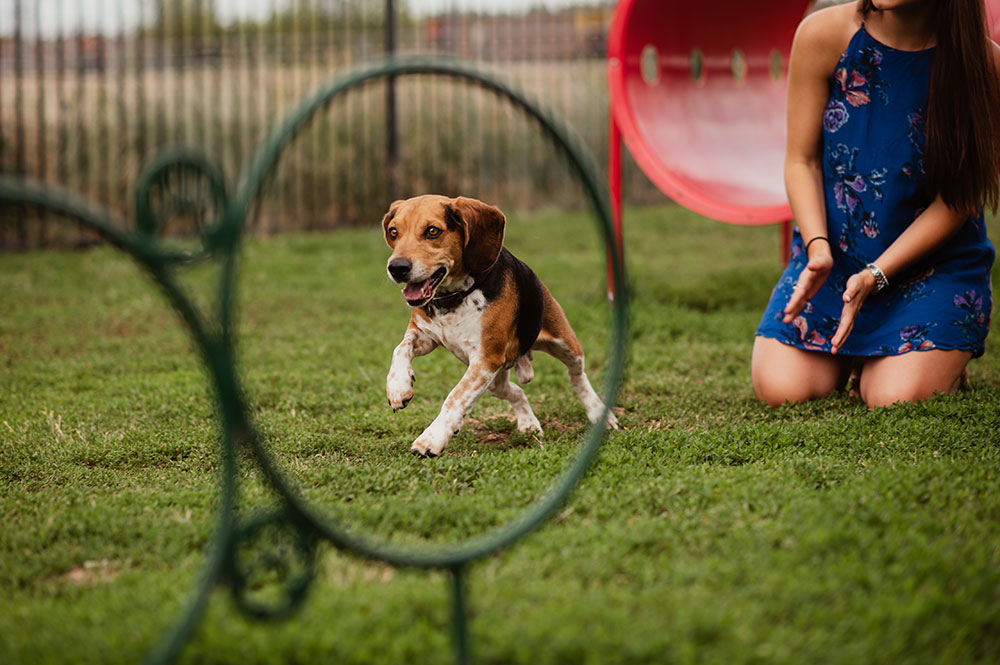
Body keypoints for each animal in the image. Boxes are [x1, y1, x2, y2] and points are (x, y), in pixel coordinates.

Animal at [382, 193, 616, 456]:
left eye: (433, 231)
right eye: (393, 232)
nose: (397, 267)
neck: (454, 298)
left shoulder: (485, 360)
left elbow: (455, 397)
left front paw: (432, 438)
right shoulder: (425, 335)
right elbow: (401, 348)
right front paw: (398, 387)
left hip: (565, 345)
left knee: (577, 377)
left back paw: (599, 414)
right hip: (495, 381)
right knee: (518, 392)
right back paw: (528, 424)